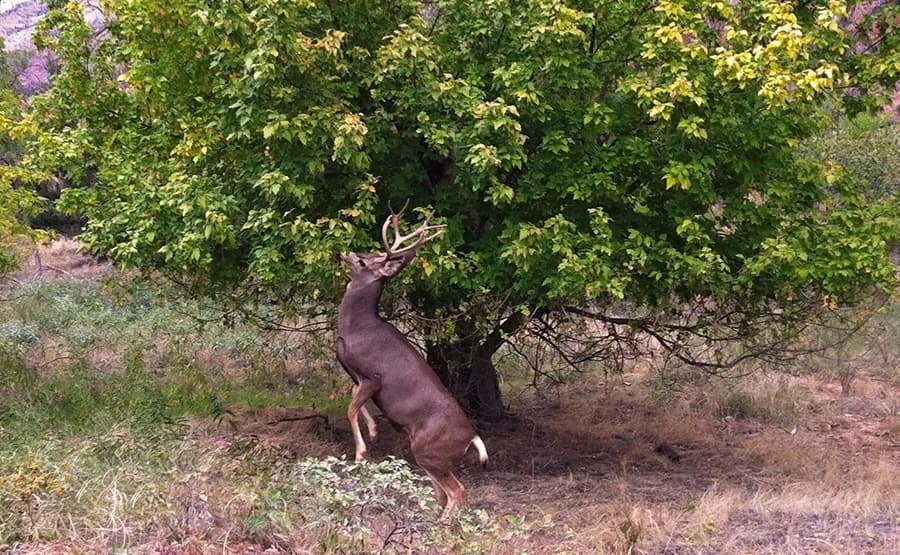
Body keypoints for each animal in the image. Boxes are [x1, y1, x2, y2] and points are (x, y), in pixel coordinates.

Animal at [336, 206, 488, 518]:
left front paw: (360, 453)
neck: (357, 326)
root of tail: (472, 439)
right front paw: (373, 431)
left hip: (429, 450)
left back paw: (440, 524)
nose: (346, 251)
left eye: (363, 260)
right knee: (443, 492)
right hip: (428, 455)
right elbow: (352, 400)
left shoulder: (373, 375)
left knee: (457, 491)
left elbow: (350, 408)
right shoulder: (356, 376)